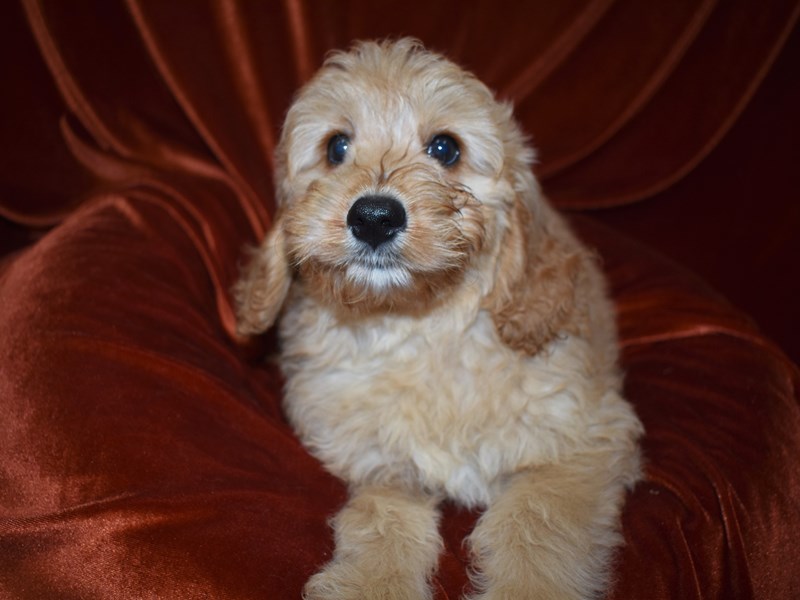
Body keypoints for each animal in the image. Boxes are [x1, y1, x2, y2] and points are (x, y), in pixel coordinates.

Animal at [238, 38, 644, 600]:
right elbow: (382, 522)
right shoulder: (381, 460)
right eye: (336, 147)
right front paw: (370, 583)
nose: (374, 217)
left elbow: (538, 523)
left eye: (445, 149)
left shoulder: (581, 443)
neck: (419, 328)